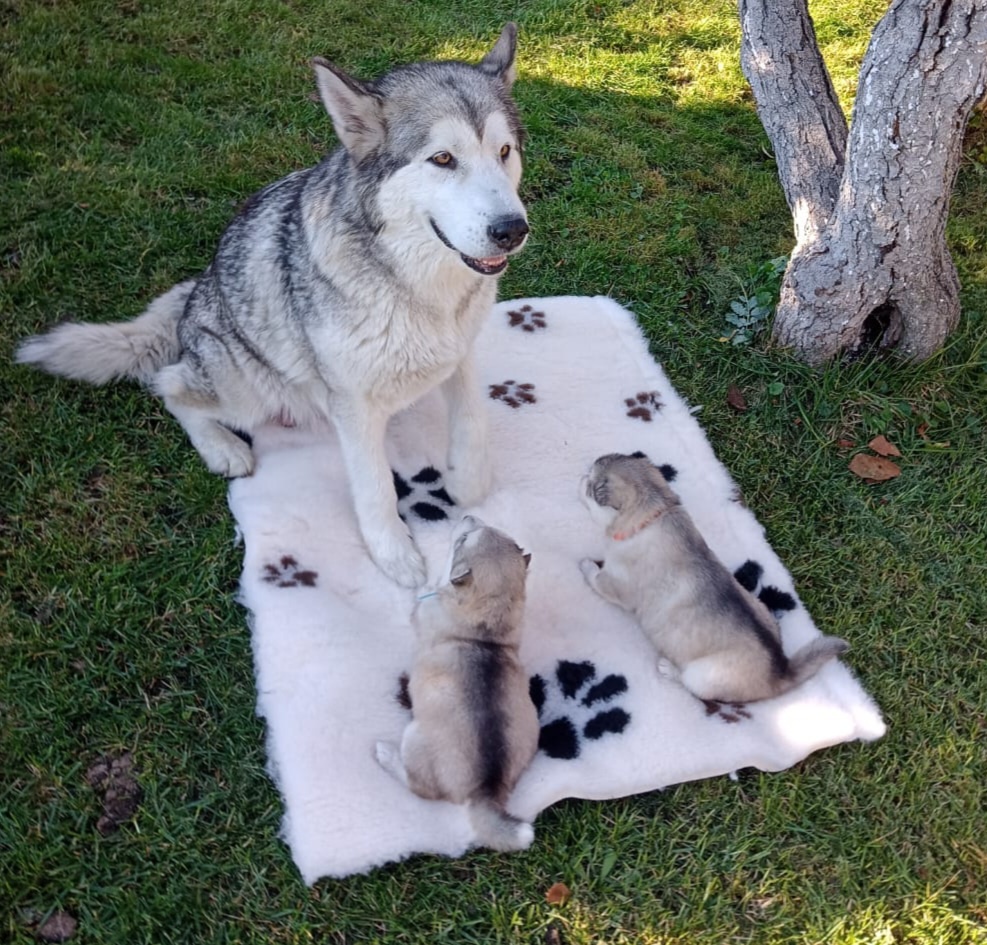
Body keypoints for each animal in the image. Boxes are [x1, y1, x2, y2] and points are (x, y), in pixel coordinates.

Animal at [376, 520, 540, 852]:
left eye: (463, 539)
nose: (468, 517)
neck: (491, 619)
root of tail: (486, 790)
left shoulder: (426, 609)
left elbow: (423, 596)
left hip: (415, 742)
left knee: (417, 786)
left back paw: (385, 754)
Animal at [580, 454, 848, 704]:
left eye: (591, 487)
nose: (582, 477)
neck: (655, 515)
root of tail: (780, 673)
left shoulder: (616, 583)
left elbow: (597, 577)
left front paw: (586, 565)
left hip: (702, 674)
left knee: (692, 687)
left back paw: (668, 669)